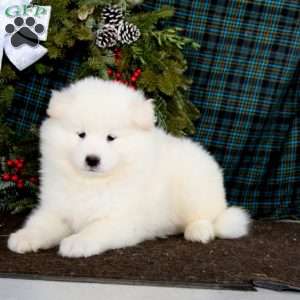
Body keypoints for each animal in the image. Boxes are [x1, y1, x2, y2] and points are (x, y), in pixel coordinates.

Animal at [7, 78, 251, 258]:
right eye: (81, 134)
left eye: (111, 137)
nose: (92, 159)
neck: (92, 183)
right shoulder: (57, 208)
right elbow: (41, 223)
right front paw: (24, 237)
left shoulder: (123, 219)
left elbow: (97, 228)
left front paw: (77, 242)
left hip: (194, 189)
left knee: (208, 216)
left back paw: (199, 231)